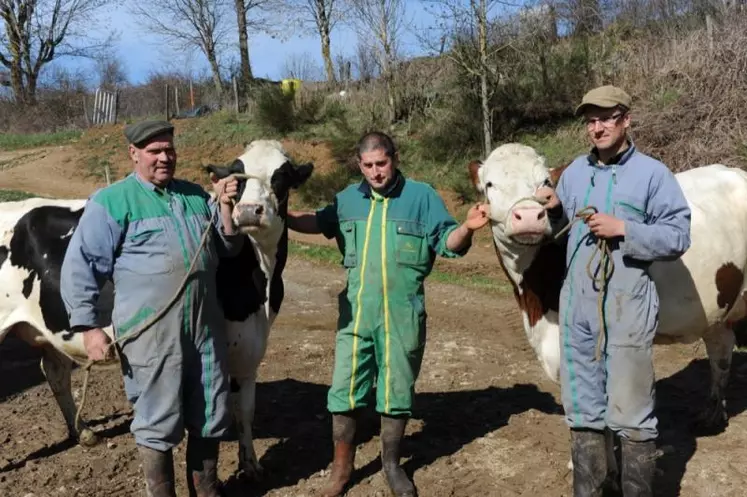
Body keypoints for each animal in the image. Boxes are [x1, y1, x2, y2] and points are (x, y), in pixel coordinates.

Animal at [470, 141, 747, 428]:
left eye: (545, 182)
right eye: (489, 184)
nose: (527, 216)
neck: (535, 304)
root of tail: (734, 170)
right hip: (716, 311)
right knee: (721, 349)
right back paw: (712, 414)